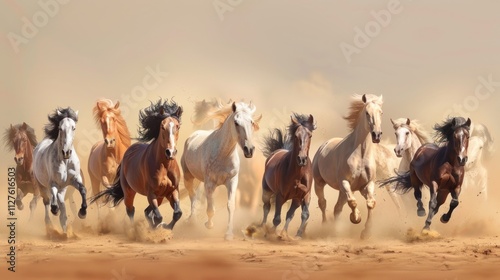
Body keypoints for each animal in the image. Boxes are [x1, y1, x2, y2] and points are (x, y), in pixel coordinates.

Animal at [90, 100, 184, 230]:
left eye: (178, 126)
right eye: (162, 126)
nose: (170, 152)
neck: (165, 166)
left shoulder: (172, 191)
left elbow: (177, 213)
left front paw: (165, 227)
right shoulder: (151, 194)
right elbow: (158, 216)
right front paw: (159, 227)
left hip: (160, 196)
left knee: (146, 211)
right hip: (129, 191)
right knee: (131, 210)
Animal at [181, 101, 262, 240]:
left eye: (251, 122)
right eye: (236, 122)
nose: (249, 150)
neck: (222, 154)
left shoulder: (232, 181)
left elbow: (231, 206)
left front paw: (228, 234)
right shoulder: (210, 184)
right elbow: (210, 208)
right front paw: (209, 225)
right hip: (189, 177)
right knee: (192, 195)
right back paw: (192, 220)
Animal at [314, 93, 384, 238]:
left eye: (381, 112)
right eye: (367, 113)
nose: (376, 135)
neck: (361, 155)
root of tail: (324, 145)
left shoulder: (367, 184)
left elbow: (370, 203)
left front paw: (366, 232)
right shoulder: (345, 182)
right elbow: (352, 201)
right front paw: (356, 218)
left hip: (341, 191)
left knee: (337, 208)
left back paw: (336, 229)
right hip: (319, 183)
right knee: (323, 203)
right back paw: (325, 226)